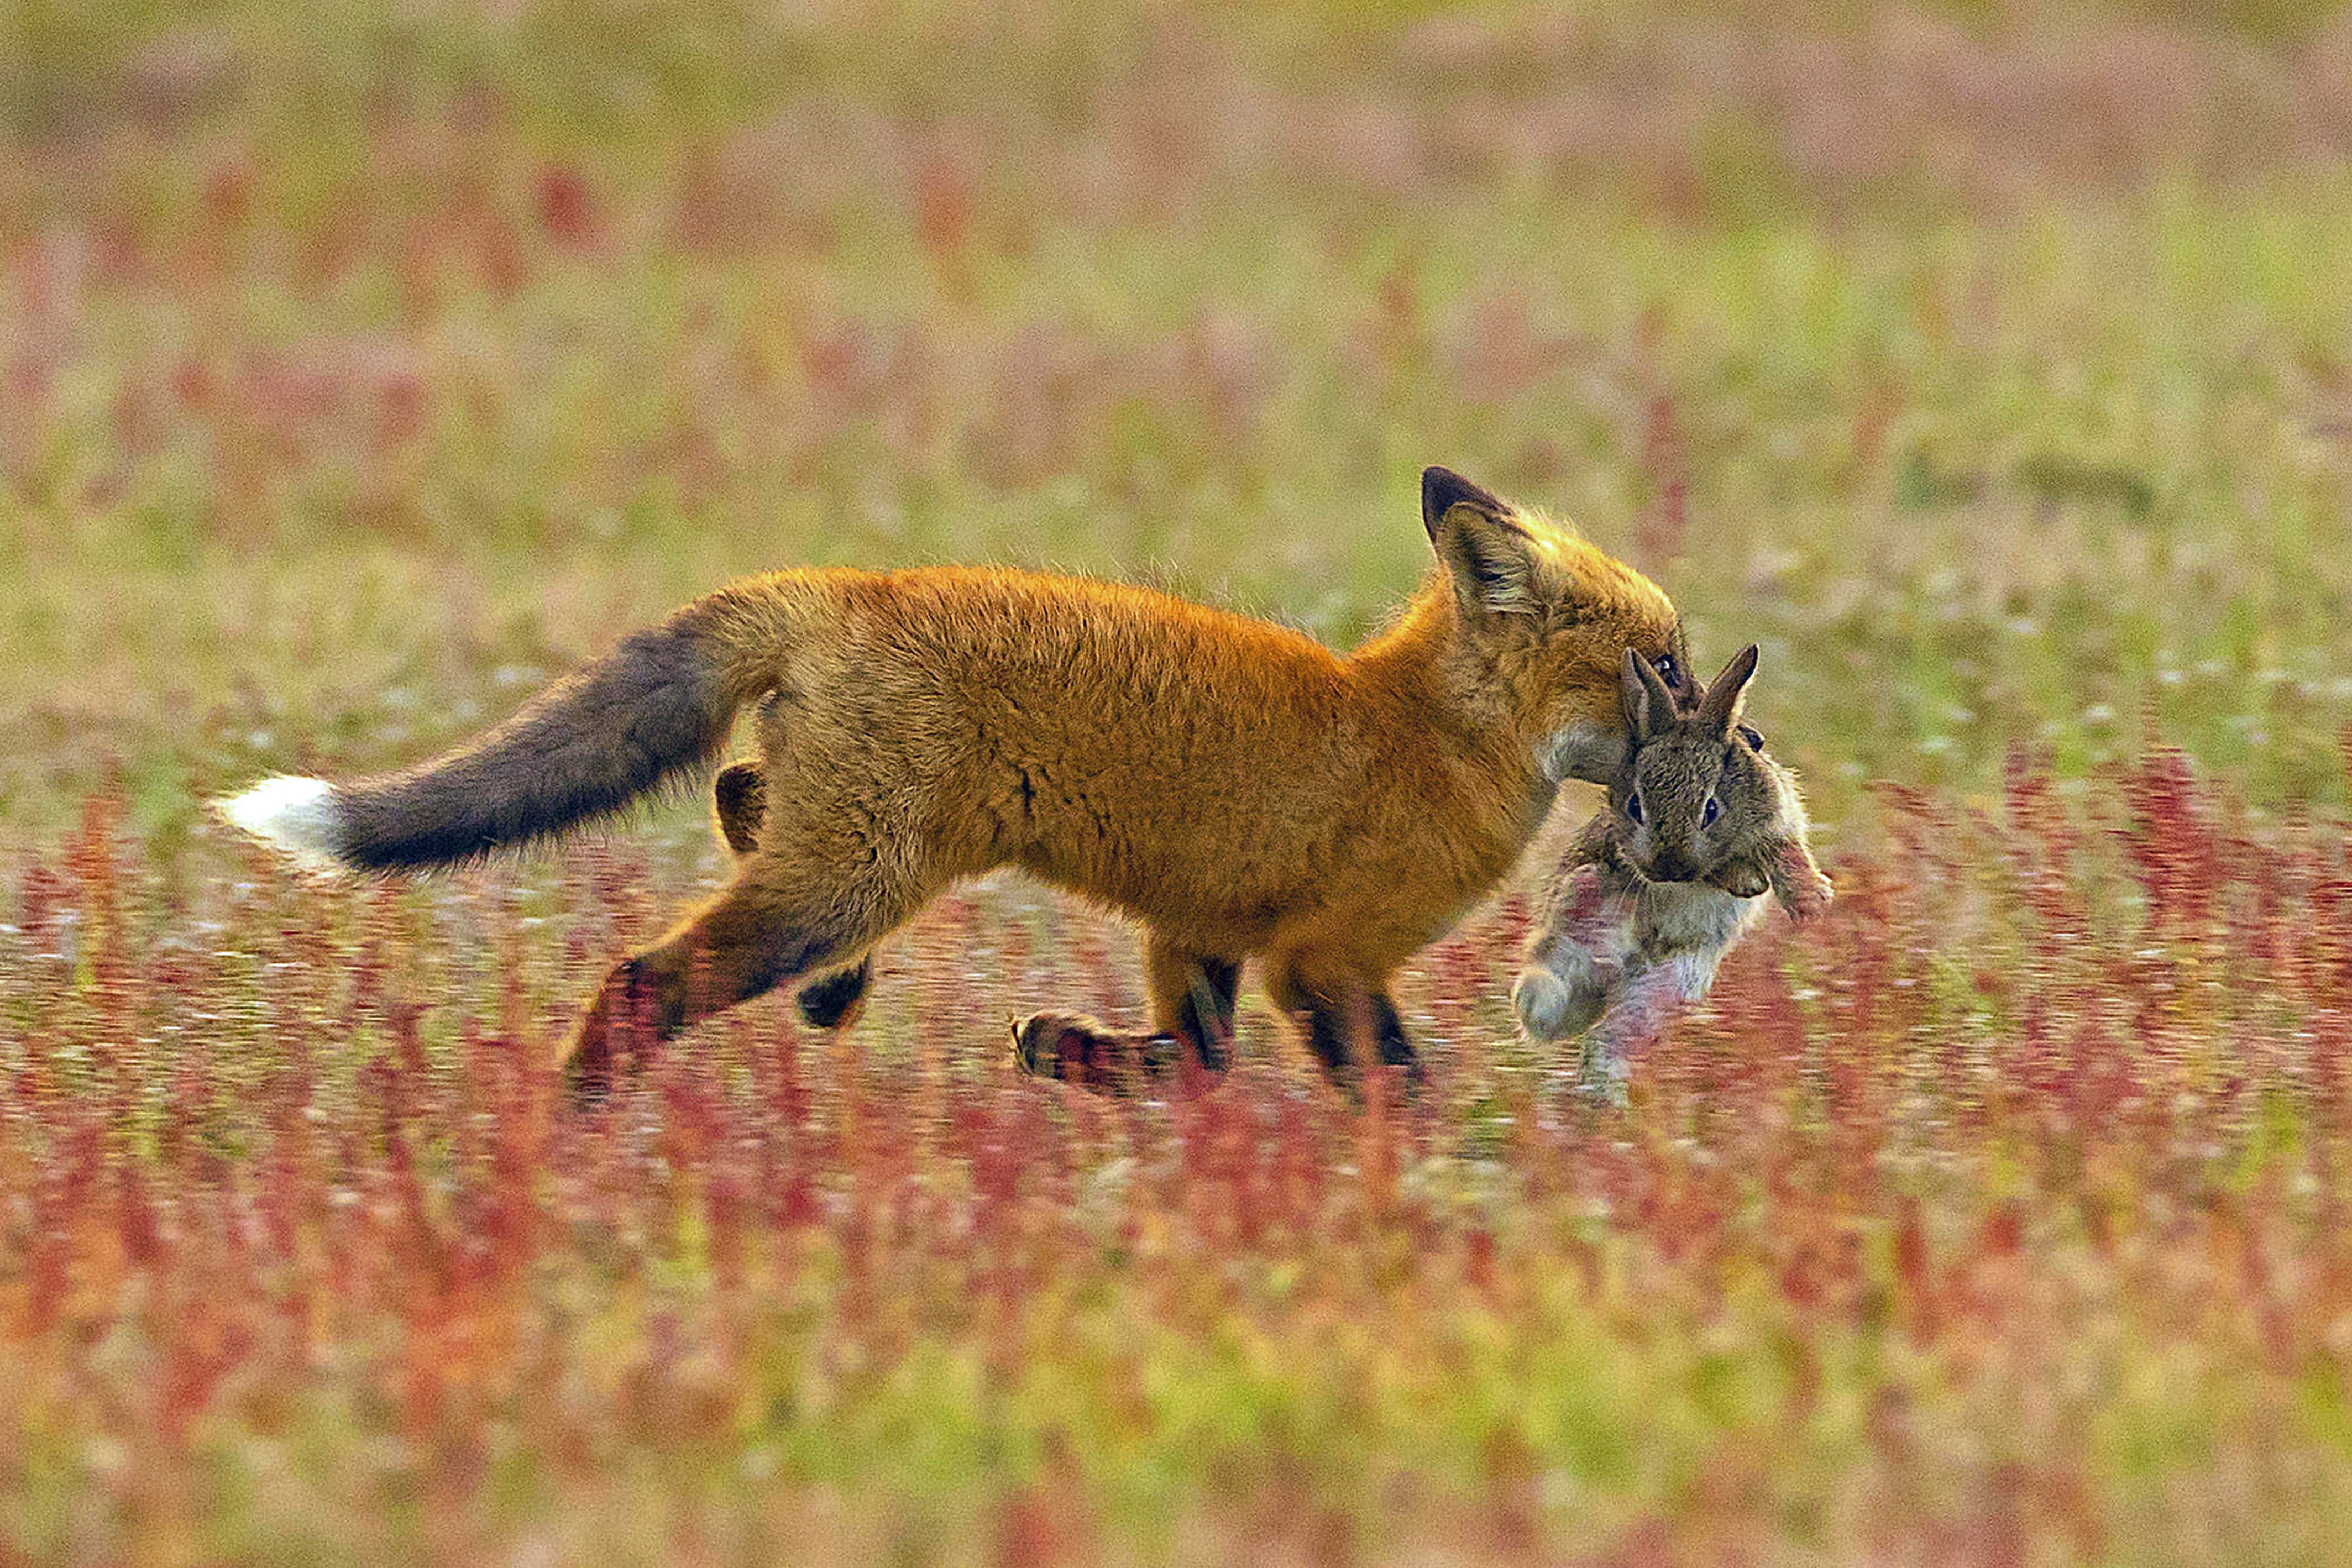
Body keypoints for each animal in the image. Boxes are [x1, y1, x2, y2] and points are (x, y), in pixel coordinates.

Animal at [216, 472, 1693, 1100]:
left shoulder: (1200, 930)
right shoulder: (1322, 958)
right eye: (1663, 662)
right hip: (853, 872)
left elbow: (1194, 1062)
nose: (1719, 718)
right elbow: (1388, 1087)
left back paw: (831, 996)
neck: (1422, 729)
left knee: (740, 792)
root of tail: (843, 585)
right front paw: (1450, 1195)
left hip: (851, 848)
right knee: (647, 976)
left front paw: (1071, 1057)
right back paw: (574, 1117)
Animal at [1515, 644, 1825, 1100]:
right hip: (1573, 923)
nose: (1669, 866)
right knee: (1546, 992)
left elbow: (1786, 856)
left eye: (1710, 808)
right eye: (1635, 806)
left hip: (1669, 986)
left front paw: (1809, 903)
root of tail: (1622, 974)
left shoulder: (1775, 818)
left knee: (1611, 1037)